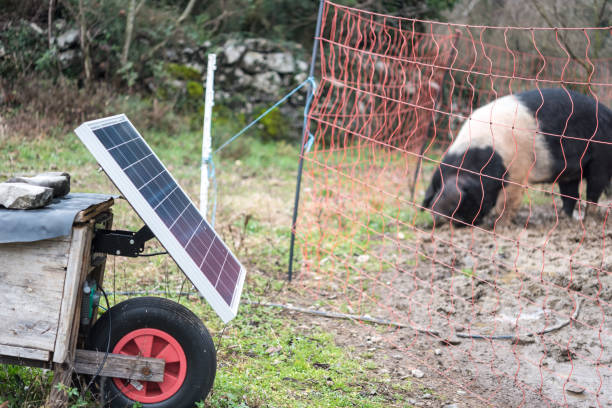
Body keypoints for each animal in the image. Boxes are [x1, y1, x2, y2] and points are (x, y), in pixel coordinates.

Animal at [420, 87, 612, 225]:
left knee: (595, 187)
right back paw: (564, 219)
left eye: (458, 201)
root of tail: (608, 112)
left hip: (601, 156)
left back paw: (588, 219)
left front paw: (502, 225)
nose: (437, 216)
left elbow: (509, 199)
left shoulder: (517, 169)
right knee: (570, 192)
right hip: (570, 171)